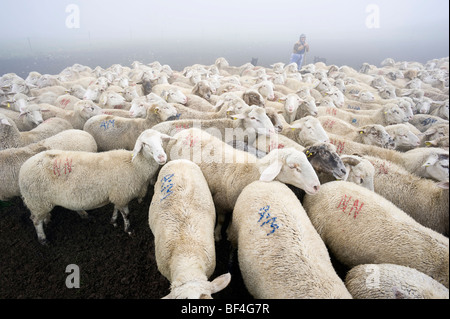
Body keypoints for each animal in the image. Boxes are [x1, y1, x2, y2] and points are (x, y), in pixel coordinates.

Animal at [19, 128, 171, 245]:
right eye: (145, 144)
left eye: (161, 140)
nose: (162, 157)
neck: (134, 165)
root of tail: (24, 167)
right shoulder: (122, 194)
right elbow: (126, 214)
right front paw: (128, 229)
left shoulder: (116, 194)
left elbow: (116, 208)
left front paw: (113, 221)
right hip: (37, 201)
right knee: (35, 221)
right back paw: (43, 239)